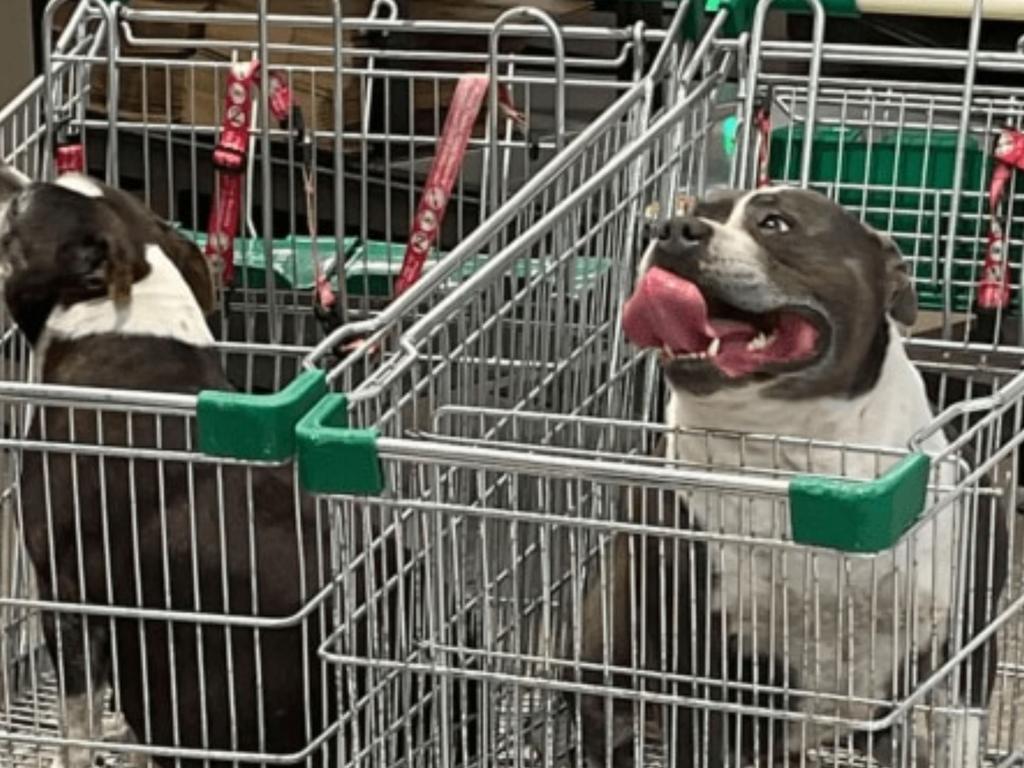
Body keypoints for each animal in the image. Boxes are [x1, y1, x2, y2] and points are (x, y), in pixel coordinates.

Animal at [573, 188, 1011, 768]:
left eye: (776, 223)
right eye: (691, 211)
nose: (669, 230)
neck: (795, 458)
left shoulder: (965, 650)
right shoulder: (698, 670)